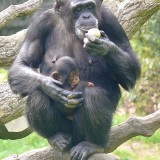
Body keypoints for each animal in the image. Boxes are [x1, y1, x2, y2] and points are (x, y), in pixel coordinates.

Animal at [8, 0, 140, 159]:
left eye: (90, 6)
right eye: (78, 9)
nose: (86, 16)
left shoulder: (112, 21)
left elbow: (130, 64)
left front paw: (105, 46)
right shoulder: (38, 26)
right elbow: (22, 64)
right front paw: (51, 87)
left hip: (87, 134)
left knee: (93, 95)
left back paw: (91, 144)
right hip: (67, 131)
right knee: (37, 93)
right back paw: (56, 136)